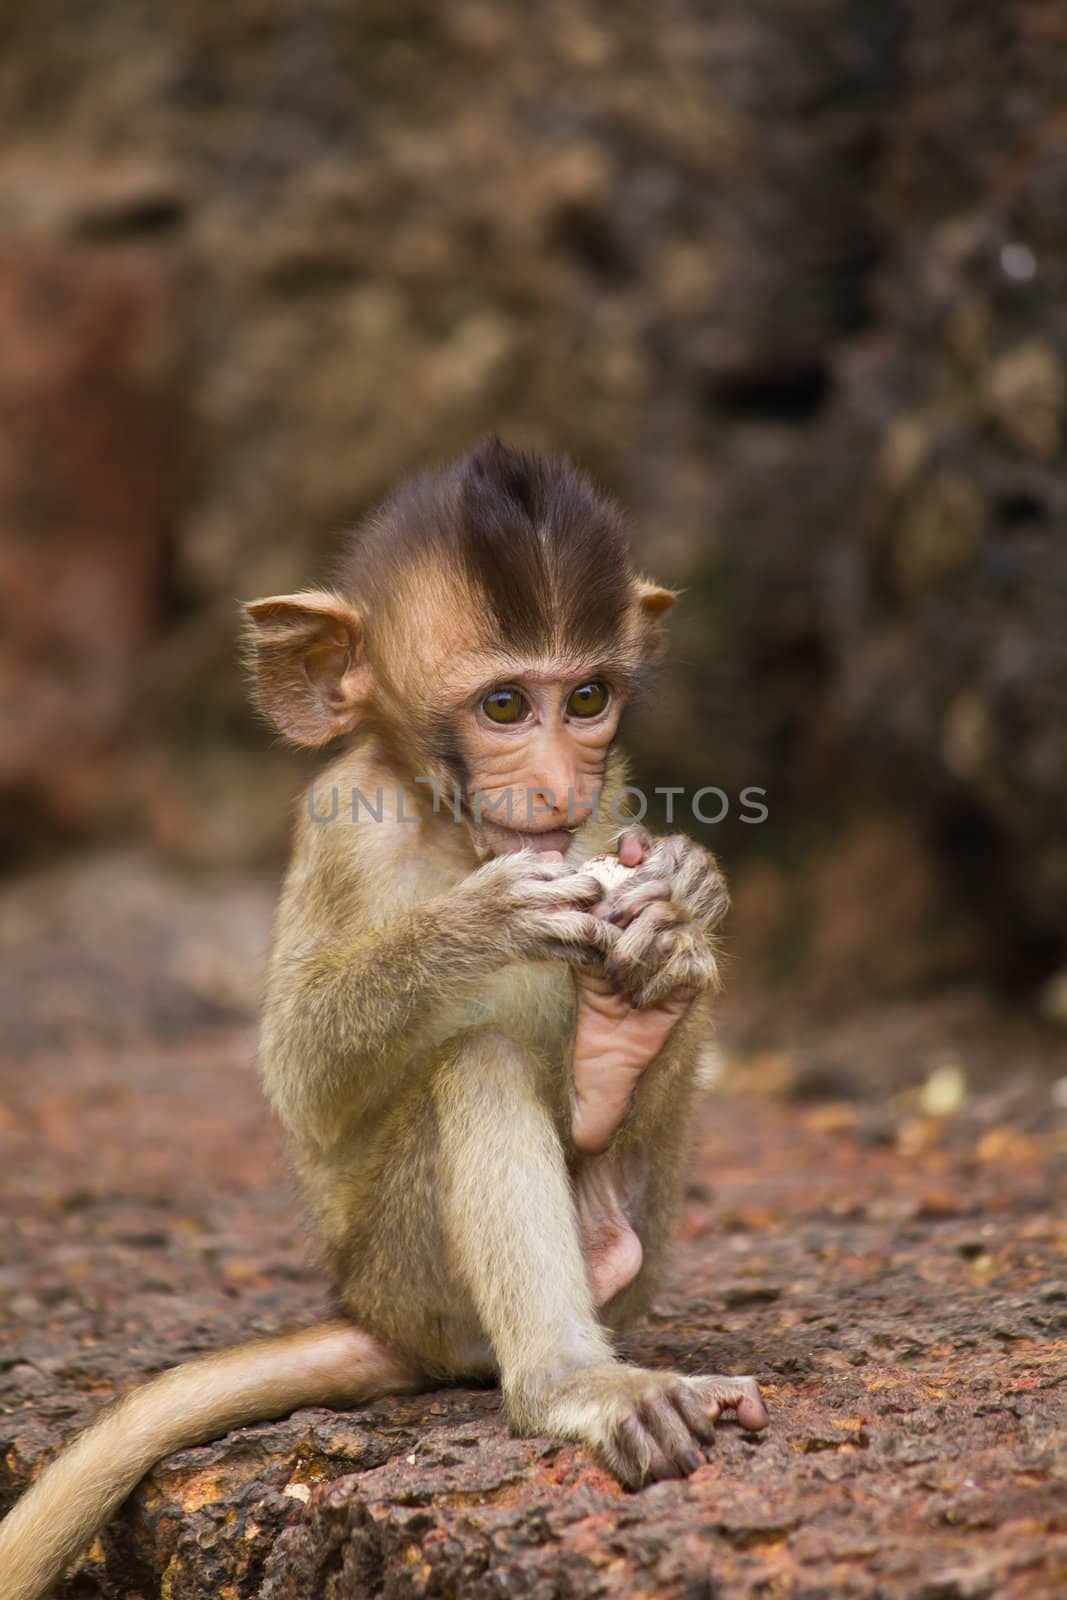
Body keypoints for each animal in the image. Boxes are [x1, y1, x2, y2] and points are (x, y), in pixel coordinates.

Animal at [0, 438, 767, 1600]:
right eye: (505, 707)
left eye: (586, 697)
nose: (555, 782)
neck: (451, 829)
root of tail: (376, 1318)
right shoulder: (341, 828)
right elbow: (304, 1069)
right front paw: (483, 920)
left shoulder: (609, 795)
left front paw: (684, 894)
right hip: (408, 1272)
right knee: (477, 1062)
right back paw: (571, 1383)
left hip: (647, 1227)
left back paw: (623, 1039)